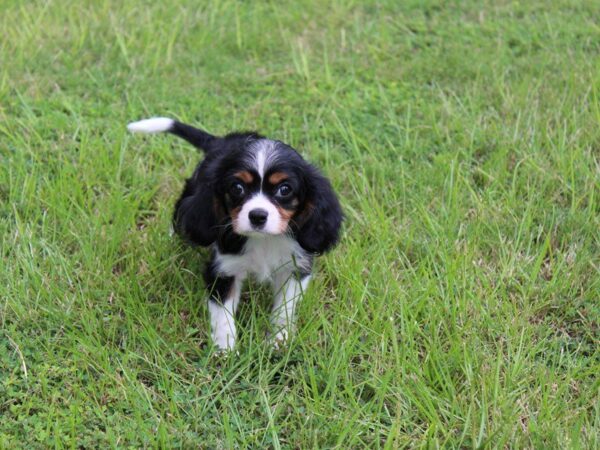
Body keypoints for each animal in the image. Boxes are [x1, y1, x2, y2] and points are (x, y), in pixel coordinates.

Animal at [127, 118, 342, 350]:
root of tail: (221, 141)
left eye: (285, 189)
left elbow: (285, 307)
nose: (257, 216)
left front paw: (278, 339)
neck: (263, 240)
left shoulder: (294, 267)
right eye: (237, 188)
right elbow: (223, 315)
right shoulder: (224, 269)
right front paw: (225, 350)